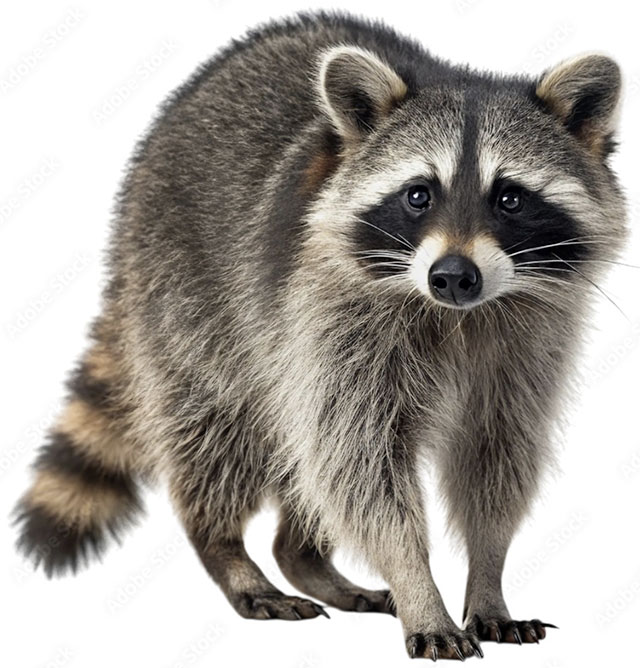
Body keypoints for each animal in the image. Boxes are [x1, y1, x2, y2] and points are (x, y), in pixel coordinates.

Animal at [14, 11, 626, 661]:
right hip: (187, 293)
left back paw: (302, 556)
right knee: (219, 425)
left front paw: (487, 579)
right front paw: (419, 587)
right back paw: (225, 547)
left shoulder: (529, 343)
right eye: (418, 194)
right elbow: (361, 468)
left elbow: (496, 456)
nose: (453, 275)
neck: (459, 313)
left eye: (510, 197)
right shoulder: (333, 315)